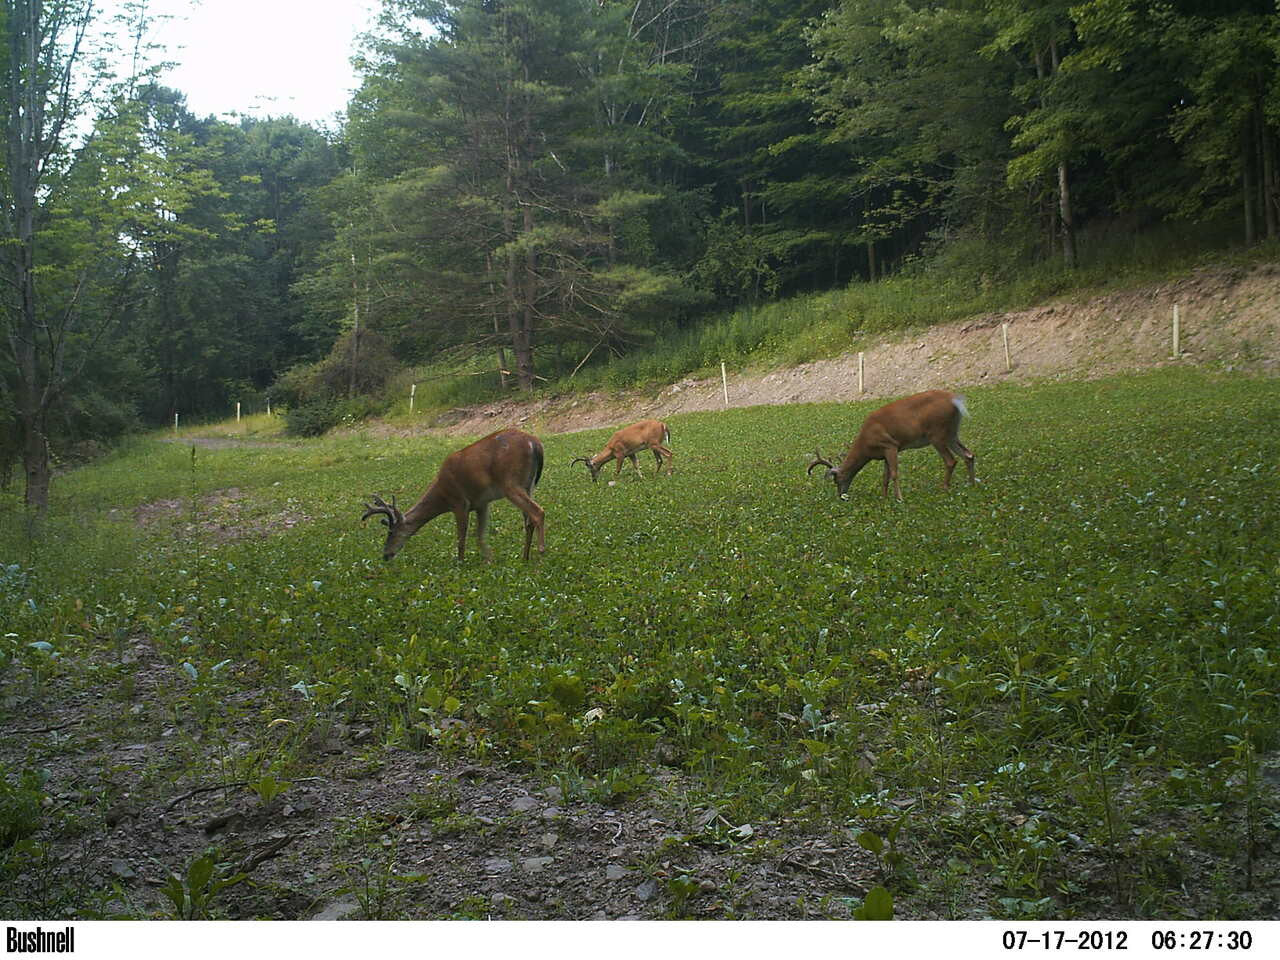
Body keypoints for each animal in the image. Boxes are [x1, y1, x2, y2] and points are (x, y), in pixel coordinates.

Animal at [360, 430, 545, 560]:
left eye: (391, 532)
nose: (385, 555)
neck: (442, 496)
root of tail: (535, 443)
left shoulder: (460, 503)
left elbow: (461, 539)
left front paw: (460, 562)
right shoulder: (481, 503)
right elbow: (479, 536)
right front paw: (488, 559)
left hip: (511, 483)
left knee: (538, 512)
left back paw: (541, 552)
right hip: (528, 485)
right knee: (529, 520)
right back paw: (525, 557)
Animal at [808, 391, 977, 504]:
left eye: (836, 480)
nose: (841, 496)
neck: (866, 445)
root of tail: (955, 400)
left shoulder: (891, 445)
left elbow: (894, 474)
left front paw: (899, 499)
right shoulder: (884, 453)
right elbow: (885, 477)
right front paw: (884, 499)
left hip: (937, 433)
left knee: (951, 461)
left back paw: (944, 488)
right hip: (952, 433)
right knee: (969, 455)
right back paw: (971, 484)